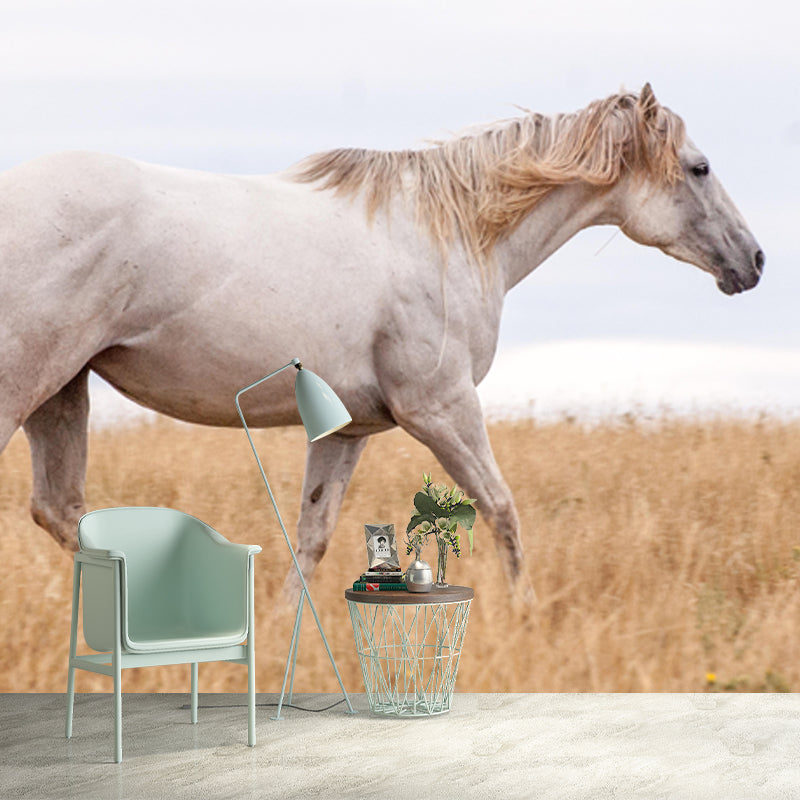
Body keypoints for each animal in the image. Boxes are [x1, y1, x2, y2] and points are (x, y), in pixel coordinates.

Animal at [0, 84, 763, 603]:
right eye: (699, 167)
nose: (753, 262)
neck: (454, 233)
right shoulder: (440, 408)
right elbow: (501, 509)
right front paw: (524, 612)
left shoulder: (347, 431)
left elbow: (310, 537)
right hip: (24, 387)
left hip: (61, 391)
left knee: (62, 509)